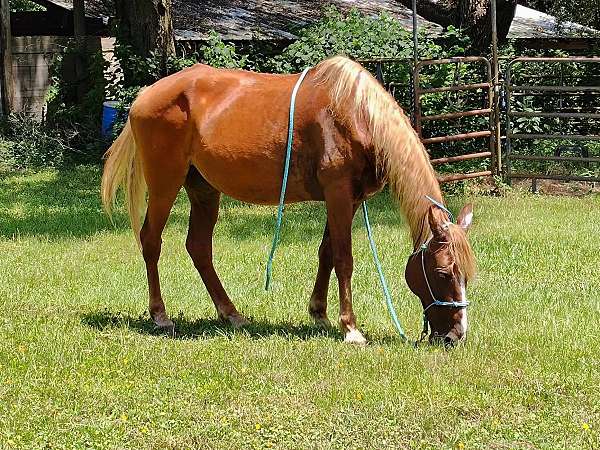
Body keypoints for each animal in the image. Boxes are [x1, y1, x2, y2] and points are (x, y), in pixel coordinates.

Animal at [104, 56, 478, 344]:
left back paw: (231, 314)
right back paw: (160, 315)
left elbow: (326, 253)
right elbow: (344, 259)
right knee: (151, 241)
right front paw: (350, 328)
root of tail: (146, 95)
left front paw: (319, 313)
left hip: (204, 190)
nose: (455, 336)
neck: (356, 115)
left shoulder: (349, 199)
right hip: (165, 185)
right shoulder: (339, 194)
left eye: (466, 275)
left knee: (198, 248)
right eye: (443, 272)